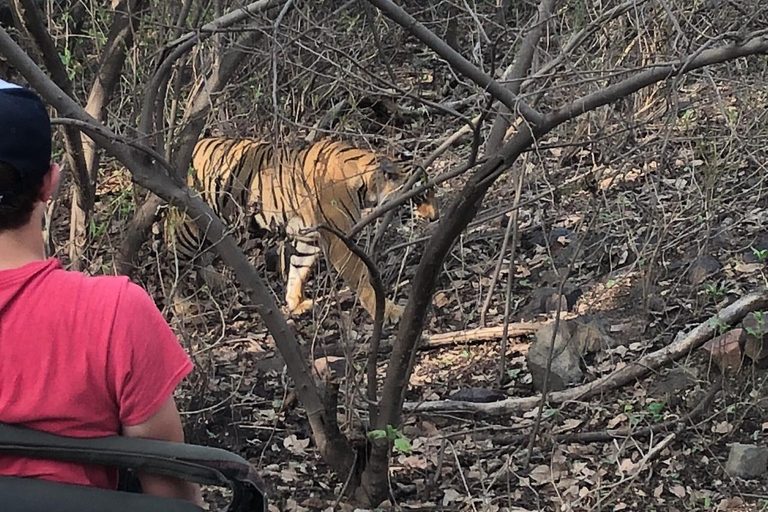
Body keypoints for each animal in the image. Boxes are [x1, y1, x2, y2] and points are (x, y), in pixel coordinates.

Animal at [166, 136, 439, 324]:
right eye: (420, 195)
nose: (436, 217)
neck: (365, 184)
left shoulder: (309, 236)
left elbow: (299, 268)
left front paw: (295, 304)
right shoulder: (339, 243)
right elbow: (362, 278)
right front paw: (389, 311)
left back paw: (215, 281)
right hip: (189, 227)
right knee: (174, 260)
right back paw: (182, 305)